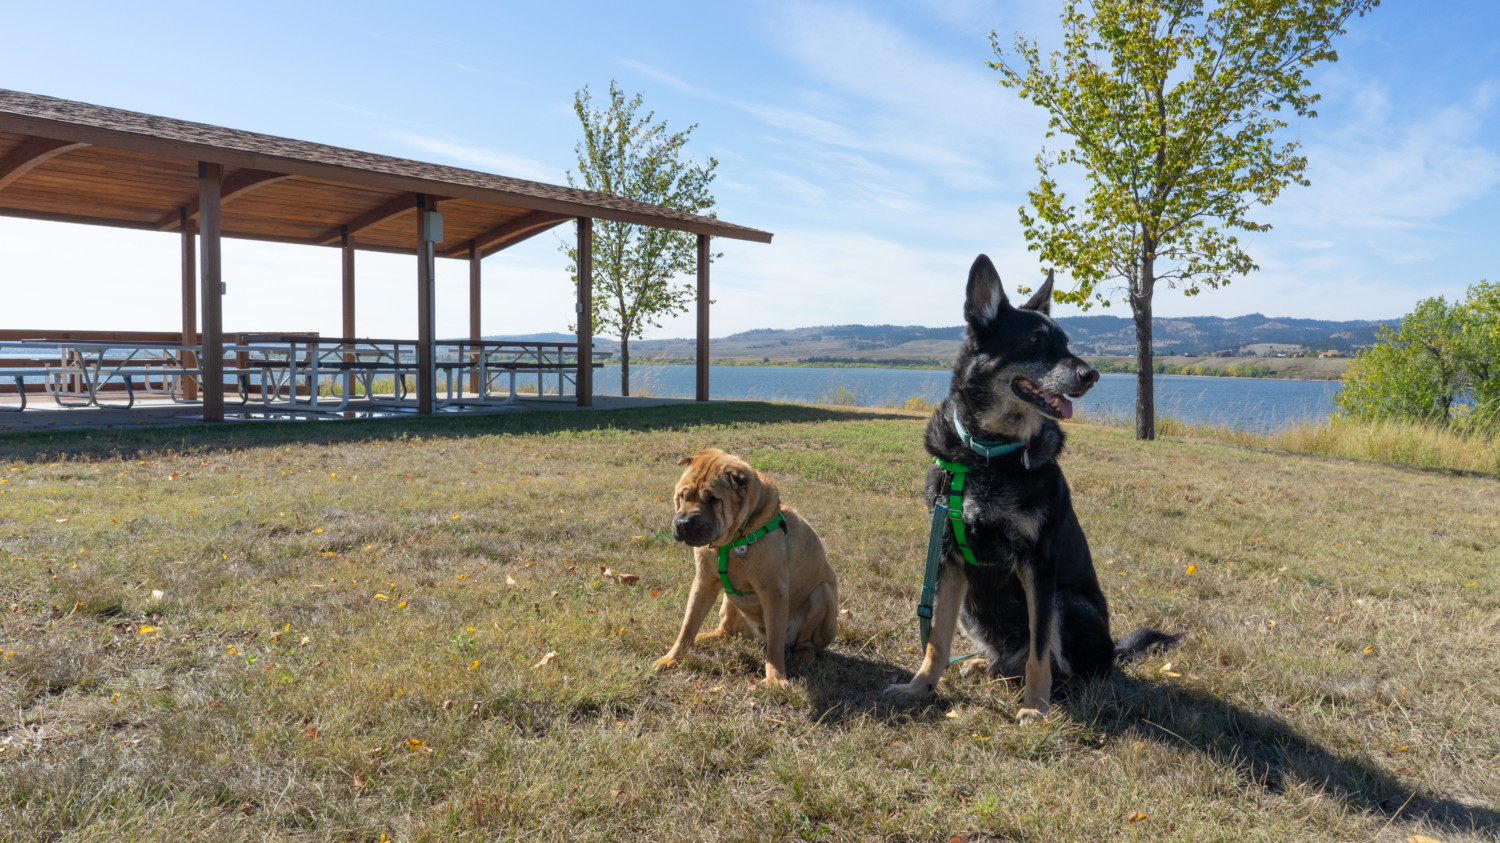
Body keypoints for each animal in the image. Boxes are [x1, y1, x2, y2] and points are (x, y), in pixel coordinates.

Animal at [657, 447, 846, 684]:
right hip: (729, 603)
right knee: (726, 630)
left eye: (713, 500)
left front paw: (775, 679)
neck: (731, 540)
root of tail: (758, 635)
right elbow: (688, 624)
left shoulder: (773, 591)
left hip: (823, 596)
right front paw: (671, 658)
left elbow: (775, 645)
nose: (683, 524)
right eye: (683, 495)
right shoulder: (704, 582)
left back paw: (804, 653)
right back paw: (708, 637)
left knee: (803, 640)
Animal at [876, 252, 1182, 720]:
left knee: (1071, 669)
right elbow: (936, 642)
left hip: (1067, 602)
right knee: (1005, 662)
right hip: (972, 605)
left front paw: (1036, 708)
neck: (990, 453)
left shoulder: (1039, 565)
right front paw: (919, 688)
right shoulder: (946, 560)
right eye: (1035, 339)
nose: (1092, 374)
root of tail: (1113, 651)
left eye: (1067, 342)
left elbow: (1041, 654)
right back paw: (984, 665)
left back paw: (1059, 690)